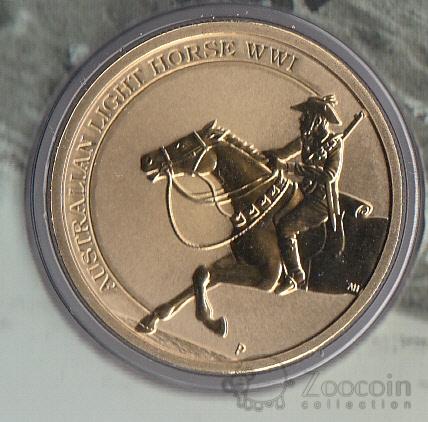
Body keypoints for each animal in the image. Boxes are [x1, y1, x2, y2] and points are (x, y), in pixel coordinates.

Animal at [136, 120, 388, 337]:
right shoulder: (240, 260)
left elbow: (210, 274)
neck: (259, 202)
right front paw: (153, 319)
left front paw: (211, 321)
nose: (146, 159)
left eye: (183, 144)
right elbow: (203, 273)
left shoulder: (267, 277)